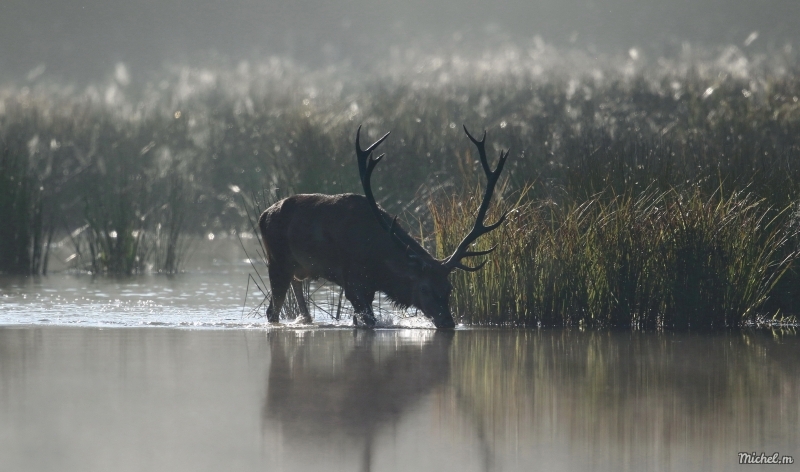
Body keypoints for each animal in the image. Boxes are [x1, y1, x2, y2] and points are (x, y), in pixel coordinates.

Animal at [260, 126, 510, 328]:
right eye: (424, 288)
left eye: (449, 288)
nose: (448, 322)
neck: (378, 261)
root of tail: (263, 215)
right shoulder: (353, 281)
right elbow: (368, 320)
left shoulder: (369, 286)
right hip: (276, 261)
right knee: (272, 310)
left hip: (298, 269)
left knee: (300, 302)